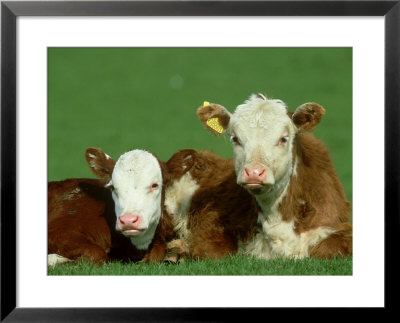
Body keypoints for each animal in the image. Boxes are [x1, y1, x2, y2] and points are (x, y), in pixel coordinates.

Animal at [48, 147, 195, 266]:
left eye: (155, 185)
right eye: (113, 187)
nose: (128, 220)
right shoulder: (58, 231)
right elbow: (96, 254)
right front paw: (57, 259)